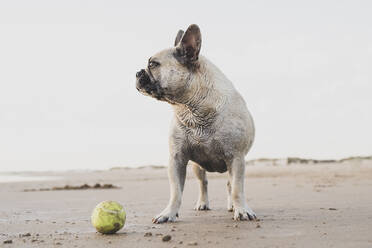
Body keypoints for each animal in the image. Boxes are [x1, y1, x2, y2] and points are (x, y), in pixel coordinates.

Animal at [136, 24, 256, 224]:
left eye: (153, 64)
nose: (137, 72)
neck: (191, 108)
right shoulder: (177, 159)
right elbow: (176, 191)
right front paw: (168, 213)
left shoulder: (236, 158)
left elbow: (237, 189)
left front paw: (241, 210)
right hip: (197, 167)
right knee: (203, 183)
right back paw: (203, 203)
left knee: (230, 184)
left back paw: (232, 206)